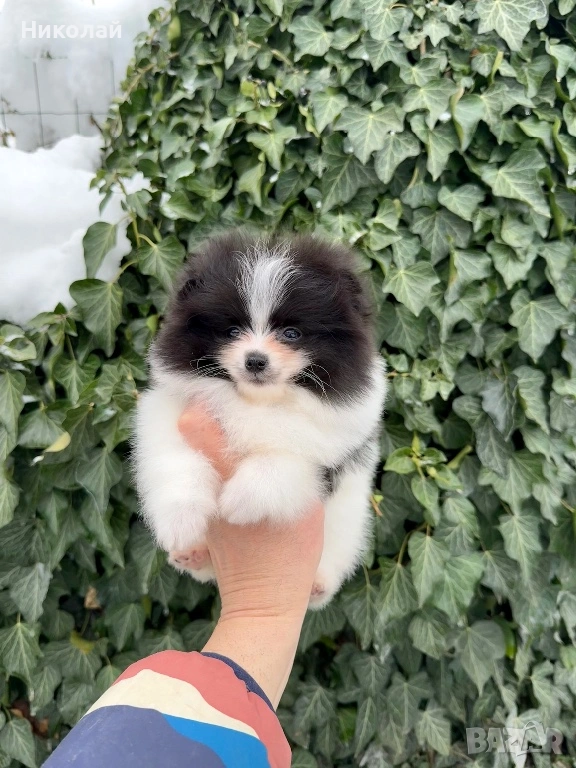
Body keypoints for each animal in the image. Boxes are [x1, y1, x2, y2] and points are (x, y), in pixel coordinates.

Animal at [134, 231, 386, 608]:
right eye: (231, 331)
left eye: (292, 333)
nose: (255, 360)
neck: (258, 402)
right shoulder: (170, 413)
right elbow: (178, 460)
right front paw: (181, 518)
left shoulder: (334, 450)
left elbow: (286, 463)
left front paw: (240, 499)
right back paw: (193, 555)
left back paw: (319, 585)